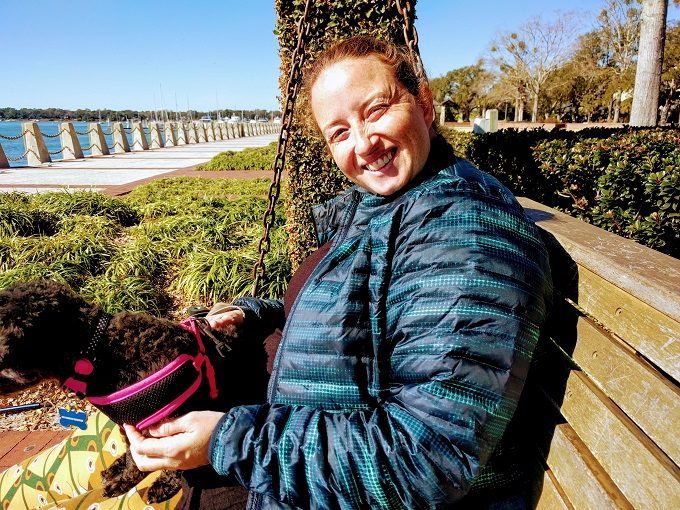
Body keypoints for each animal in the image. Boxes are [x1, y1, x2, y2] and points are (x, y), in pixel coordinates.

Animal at [0, 280, 268, 504]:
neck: (98, 352)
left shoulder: (170, 419)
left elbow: (170, 461)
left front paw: (153, 484)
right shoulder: (128, 422)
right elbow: (132, 452)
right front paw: (124, 471)